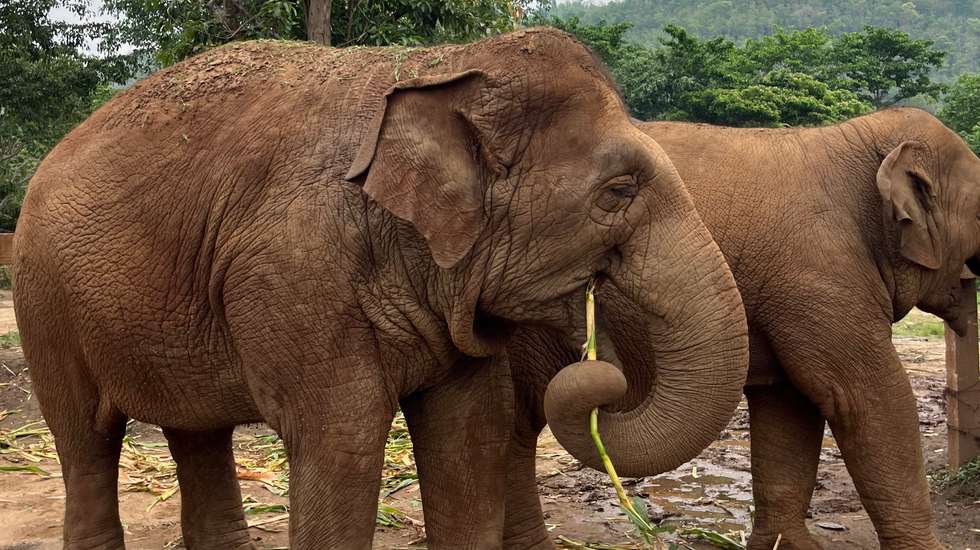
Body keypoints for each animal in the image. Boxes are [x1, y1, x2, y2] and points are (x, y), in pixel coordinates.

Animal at [12, 29, 751, 550]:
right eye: (618, 191)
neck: (436, 70)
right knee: (85, 438)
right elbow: (346, 435)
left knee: (198, 431)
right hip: (42, 298)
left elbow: (470, 431)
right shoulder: (294, 267)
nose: (603, 362)